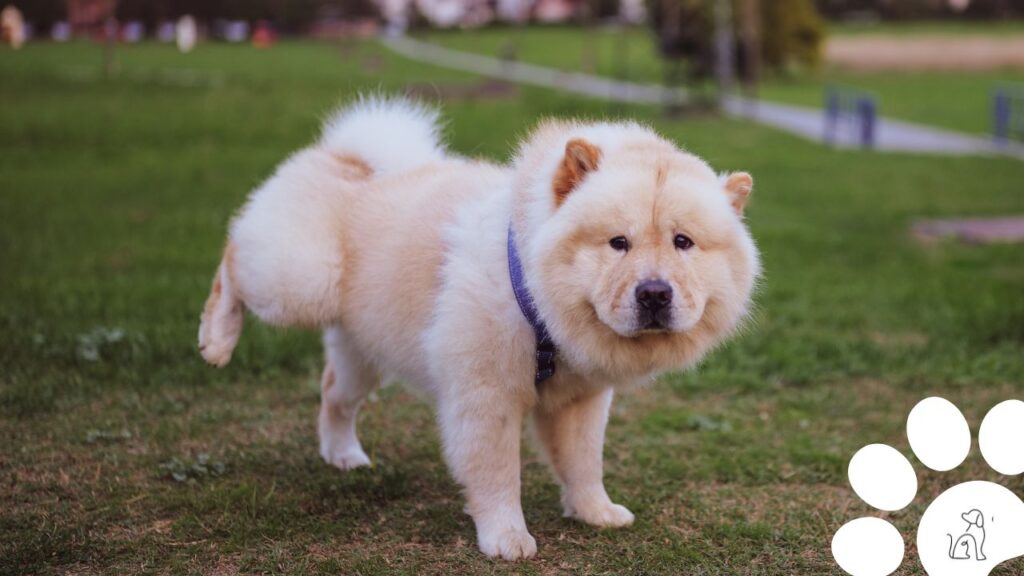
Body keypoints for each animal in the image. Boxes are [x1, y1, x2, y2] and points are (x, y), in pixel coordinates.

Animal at [197, 96, 761, 557]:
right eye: (618, 242)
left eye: (683, 242)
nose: (654, 293)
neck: (540, 305)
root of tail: (346, 157)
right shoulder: (486, 393)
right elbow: (497, 474)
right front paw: (507, 539)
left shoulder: (581, 400)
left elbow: (584, 463)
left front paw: (597, 513)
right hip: (299, 281)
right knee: (233, 257)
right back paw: (216, 338)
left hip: (365, 351)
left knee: (334, 392)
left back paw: (344, 456)